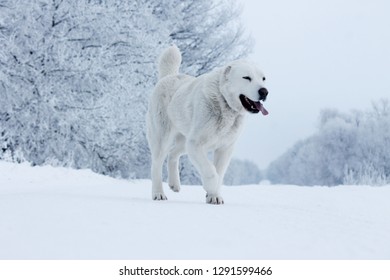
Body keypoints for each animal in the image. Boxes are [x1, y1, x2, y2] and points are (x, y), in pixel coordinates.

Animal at [146, 45, 268, 203]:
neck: (224, 103)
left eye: (263, 78)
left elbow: (219, 172)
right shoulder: (196, 144)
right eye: (246, 78)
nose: (264, 91)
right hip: (162, 139)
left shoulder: (225, 148)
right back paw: (158, 193)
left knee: (173, 154)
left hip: (184, 142)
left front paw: (214, 196)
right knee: (156, 164)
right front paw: (210, 187)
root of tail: (168, 76)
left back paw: (174, 184)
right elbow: (211, 171)